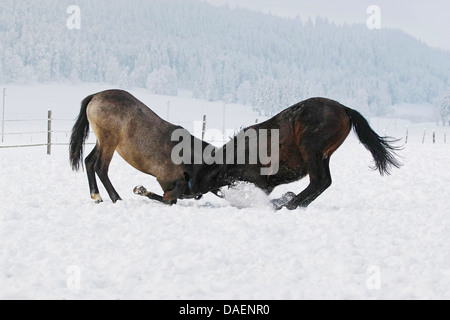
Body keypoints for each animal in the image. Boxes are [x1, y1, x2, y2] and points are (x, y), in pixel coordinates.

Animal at [69, 90, 212, 205]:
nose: (198, 195)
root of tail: (95, 96)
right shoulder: (166, 180)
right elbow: (171, 200)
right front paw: (142, 191)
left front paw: (142, 190)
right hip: (109, 141)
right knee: (100, 168)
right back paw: (116, 198)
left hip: (102, 142)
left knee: (89, 161)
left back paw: (97, 196)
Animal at [190, 97, 400, 210]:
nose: (191, 191)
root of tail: (344, 109)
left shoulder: (258, 182)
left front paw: (279, 201)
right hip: (323, 155)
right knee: (324, 182)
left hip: (311, 149)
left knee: (319, 181)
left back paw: (289, 205)